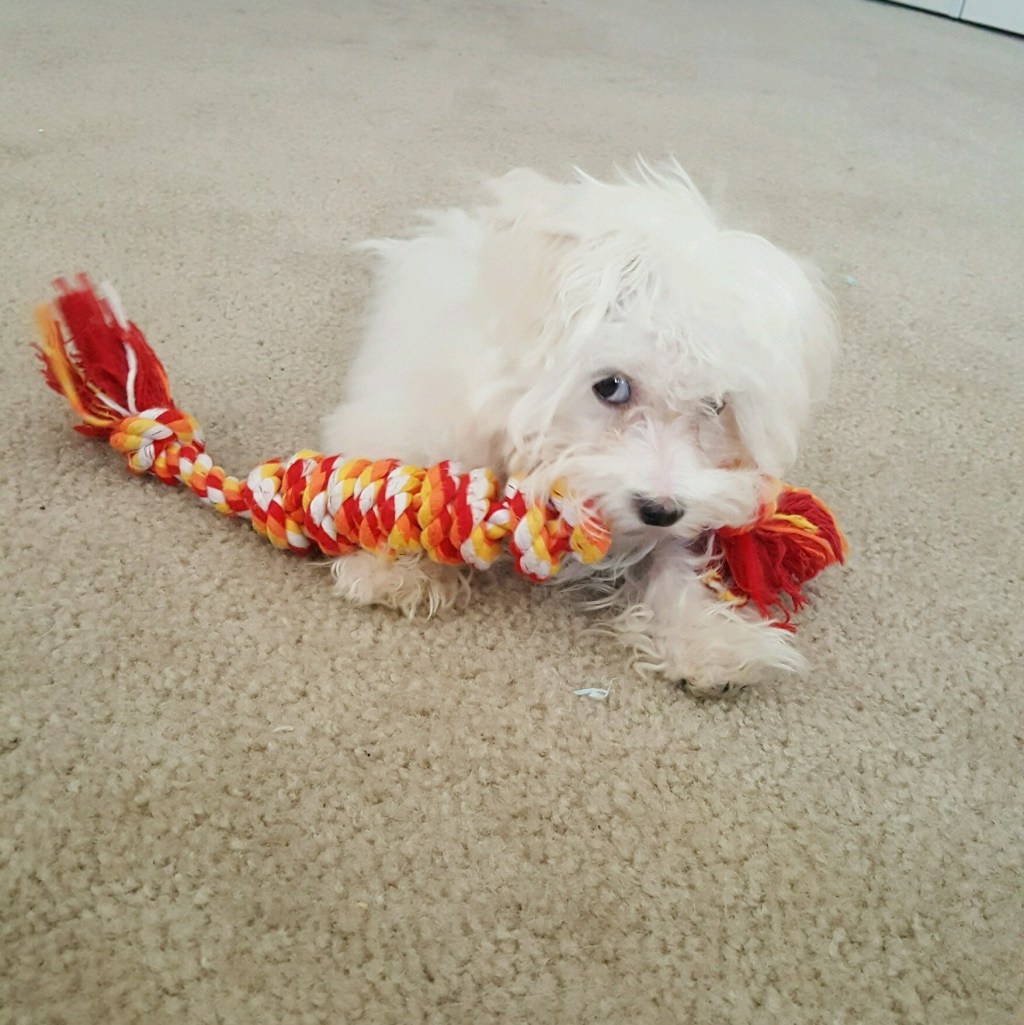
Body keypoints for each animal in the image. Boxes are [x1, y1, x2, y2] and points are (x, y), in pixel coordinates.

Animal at [323, 161, 837, 693]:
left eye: (716, 405)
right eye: (611, 386)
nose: (660, 510)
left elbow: (675, 559)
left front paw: (708, 641)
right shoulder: (416, 413)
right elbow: (395, 481)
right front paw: (392, 567)